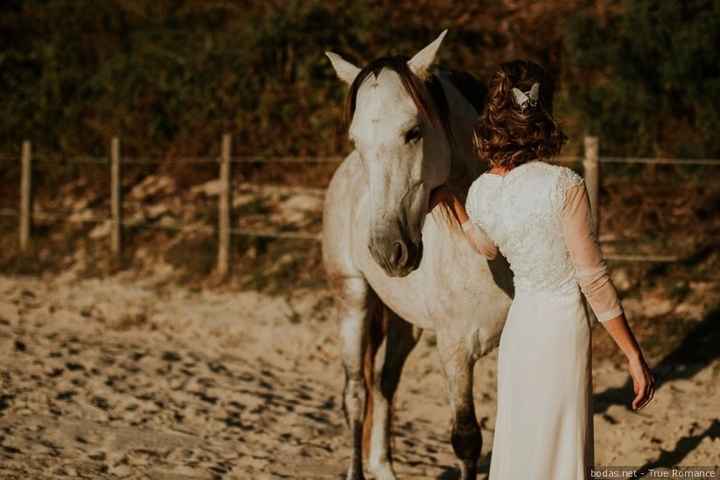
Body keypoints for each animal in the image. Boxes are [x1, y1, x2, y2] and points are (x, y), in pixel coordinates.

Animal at [320, 31, 512, 480]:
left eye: (413, 131)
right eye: (357, 140)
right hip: (352, 300)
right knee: (356, 395)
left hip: (406, 324)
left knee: (384, 385)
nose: (388, 250)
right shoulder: (456, 350)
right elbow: (466, 439)